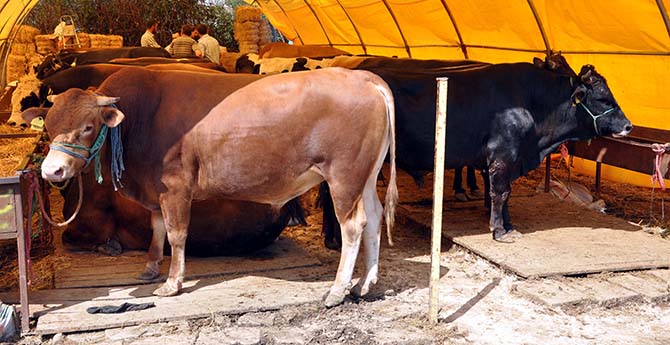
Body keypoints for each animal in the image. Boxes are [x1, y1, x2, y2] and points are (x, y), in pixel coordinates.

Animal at [30, 67, 400, 306]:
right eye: (48, 125)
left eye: (88, 126)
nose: (52, 170)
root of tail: (363, 77)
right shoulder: (156, 192)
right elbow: (157, 229)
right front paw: (150, 269)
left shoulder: (175, 187)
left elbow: (177, 234)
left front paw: (172, 283)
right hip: (366, 176)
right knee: (374, 219)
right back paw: (365, 284)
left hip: (344, 176)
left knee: (354, 225)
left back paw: (338, 290)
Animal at [322, 57, 632, 243]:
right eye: (603, 98)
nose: (629, 126)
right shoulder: (502, 157)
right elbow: (500, 193)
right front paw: (499, 230)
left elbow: (505, 195)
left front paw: (508, 225)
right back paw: (332, 238)